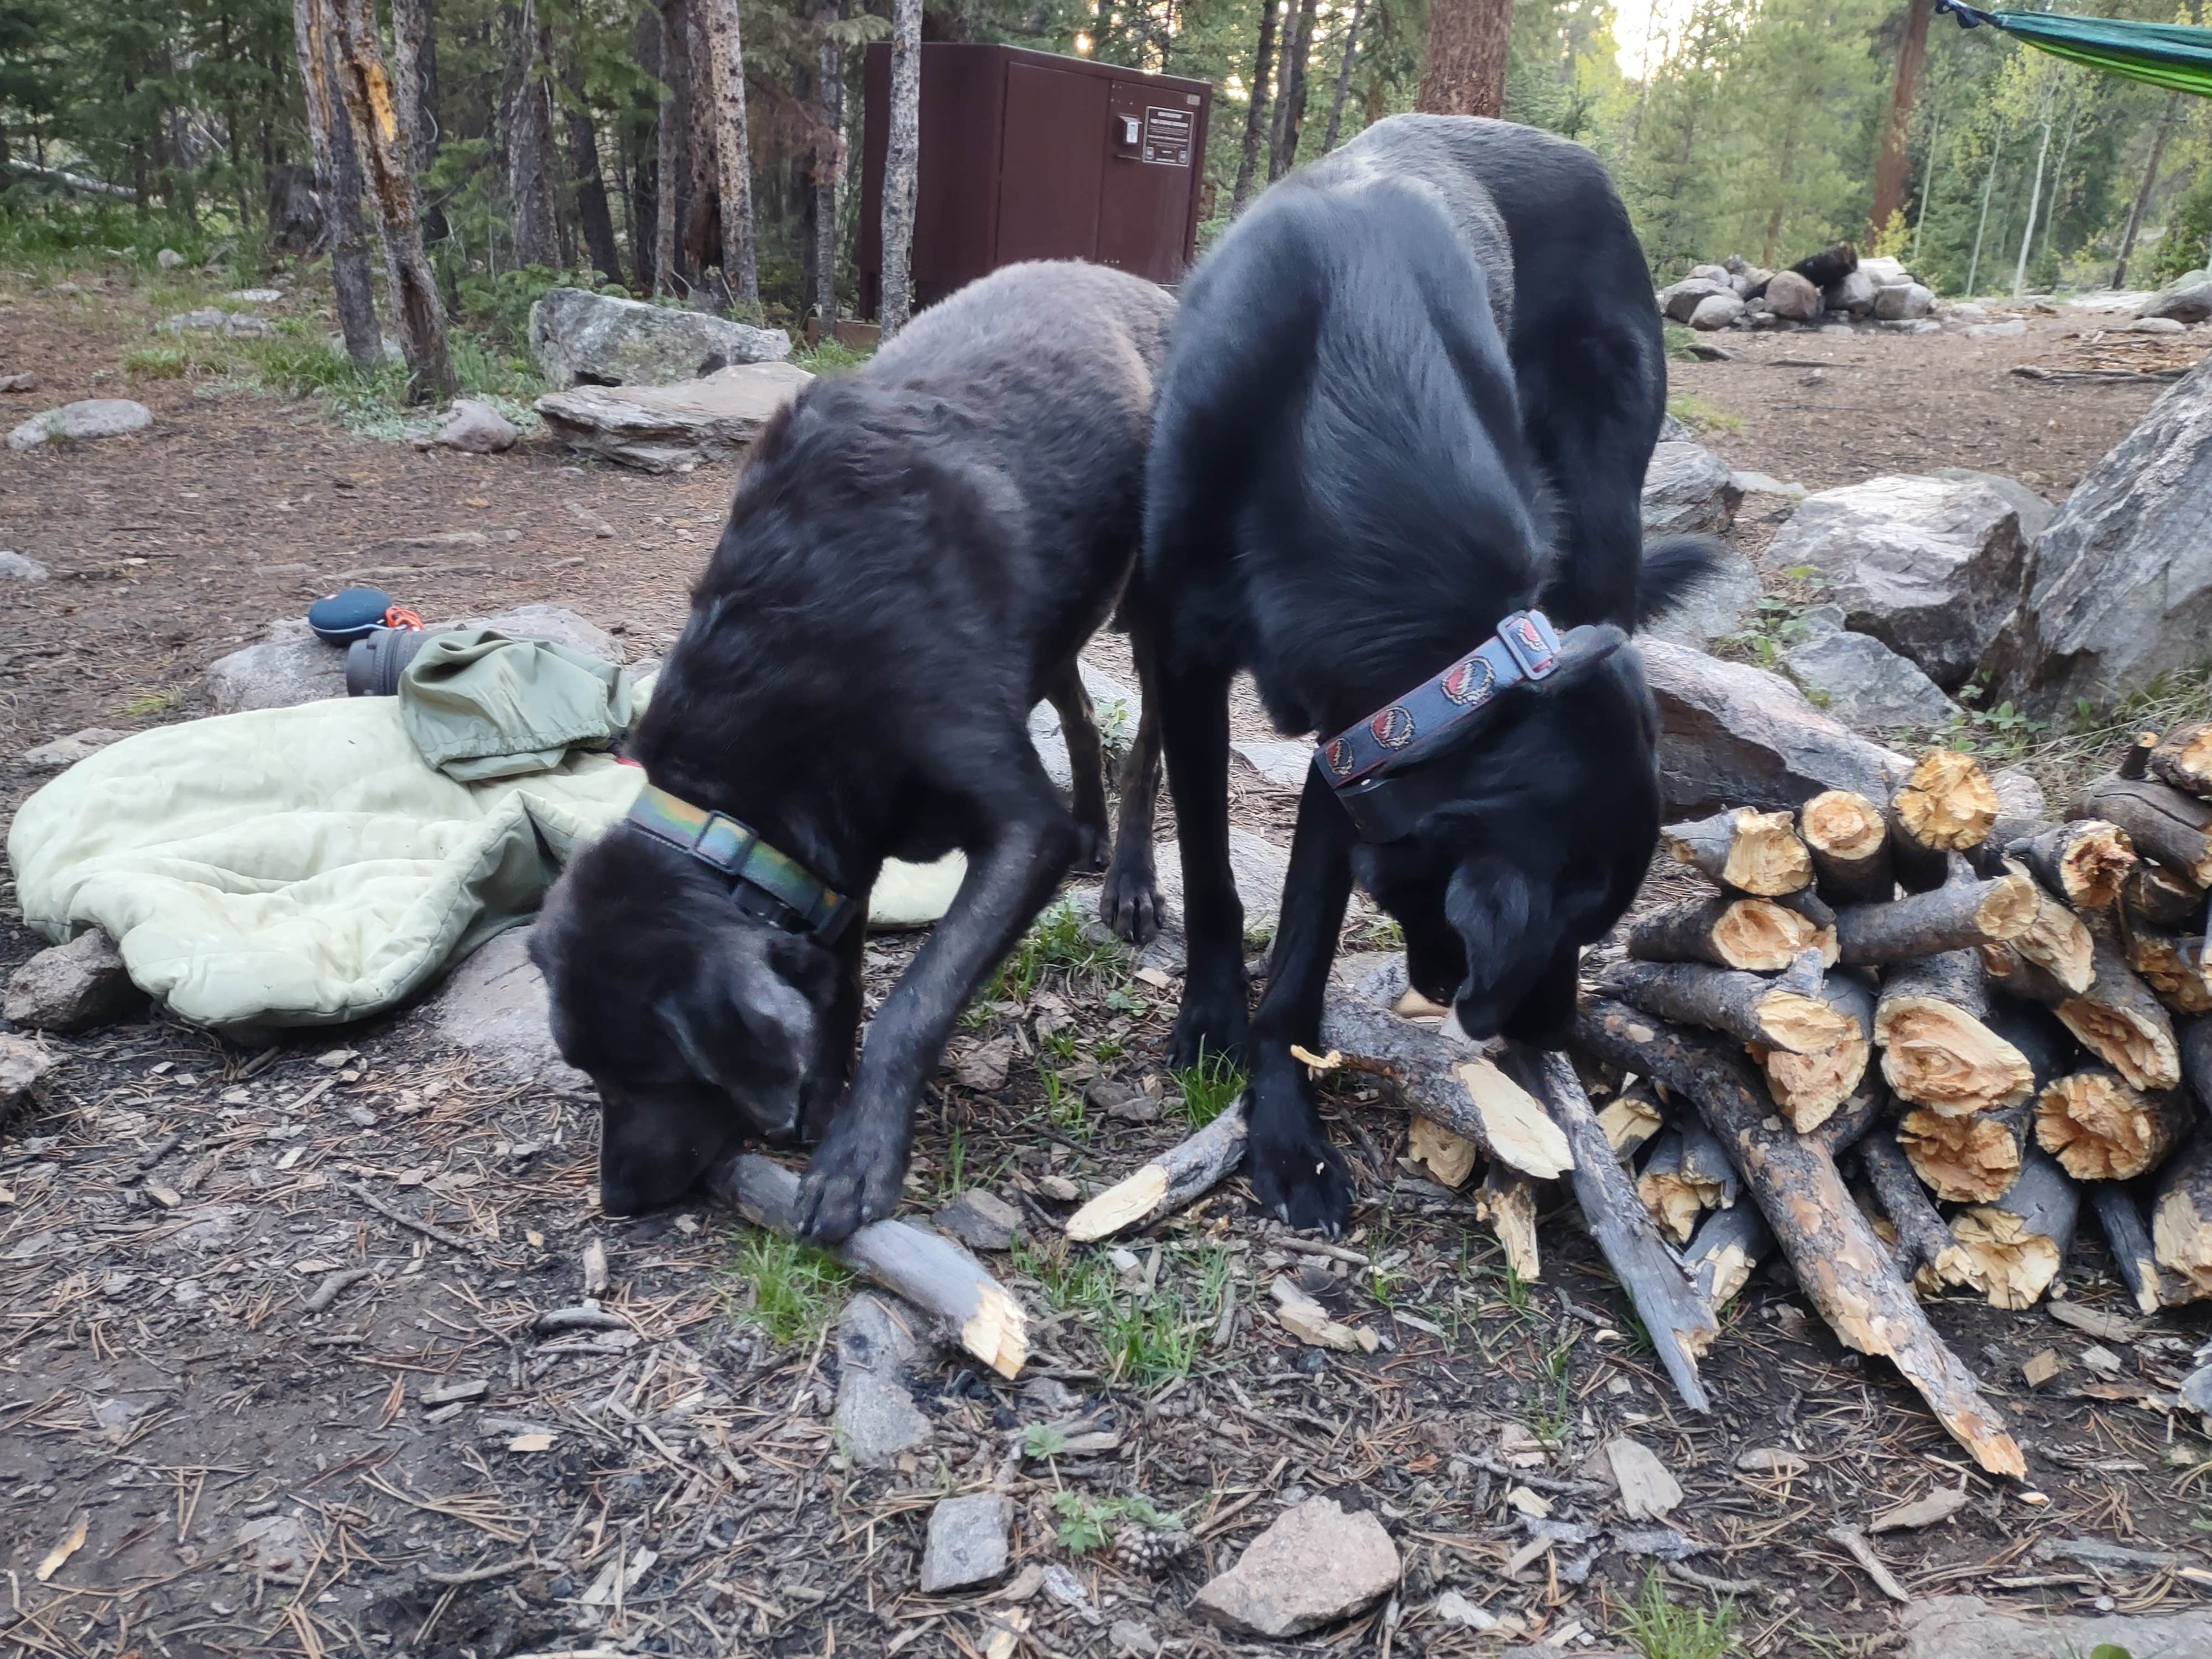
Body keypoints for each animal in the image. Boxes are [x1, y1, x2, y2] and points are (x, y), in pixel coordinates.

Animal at [531, 260, 1177, 1239]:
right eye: (589, 1074)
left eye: (652, 1073)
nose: (618, 1200)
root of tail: (1143, 282)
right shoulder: (837, 843)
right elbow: (839, 978)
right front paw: (821, 1092)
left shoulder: (1019, 835)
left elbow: (916, 998)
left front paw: (857, 1159)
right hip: (1057, 622)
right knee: (1071, 703)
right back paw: (1097, 832)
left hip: (1157, 604)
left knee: (1146, 742)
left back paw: (1131, 878)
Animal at [1141, 117, 1725, 1239]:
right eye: (1568, 929)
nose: (1550, 1032)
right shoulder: (1190, 658)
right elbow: (1211, 871)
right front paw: (1211, 1019)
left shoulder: (1357, 741)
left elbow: (1304, 950)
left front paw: (1285, 1126)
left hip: (1604, 521)